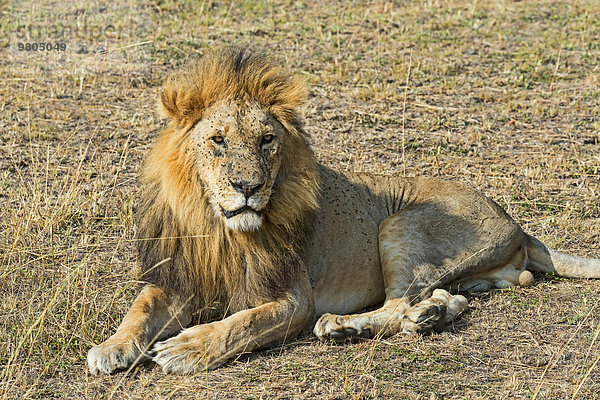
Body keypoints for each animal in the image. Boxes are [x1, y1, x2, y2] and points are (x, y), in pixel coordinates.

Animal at [88, 47, 600, 376]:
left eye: (267, 140)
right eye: (217, 141)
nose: (248, 188)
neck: (220, 229)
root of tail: (516, 223)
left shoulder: (293, 299)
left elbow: (240, 324)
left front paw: (188, 347)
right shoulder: (180, 275)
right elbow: (140, 307)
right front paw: (110, 348)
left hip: (399, 222)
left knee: (397, 304)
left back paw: (344, 327)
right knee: (442, 300)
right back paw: (428, 317)